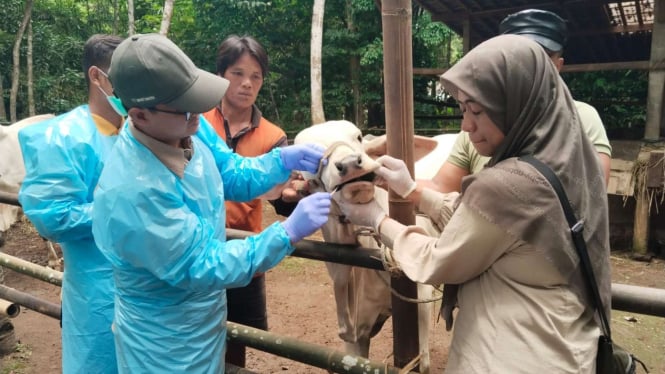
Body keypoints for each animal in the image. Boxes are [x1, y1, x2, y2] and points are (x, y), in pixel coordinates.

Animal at [296, 121, 456, 372]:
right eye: (308, 158)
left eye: (359, 137)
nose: (350, 163)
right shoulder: (356, 334)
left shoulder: (419, 300)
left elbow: (423, 362)